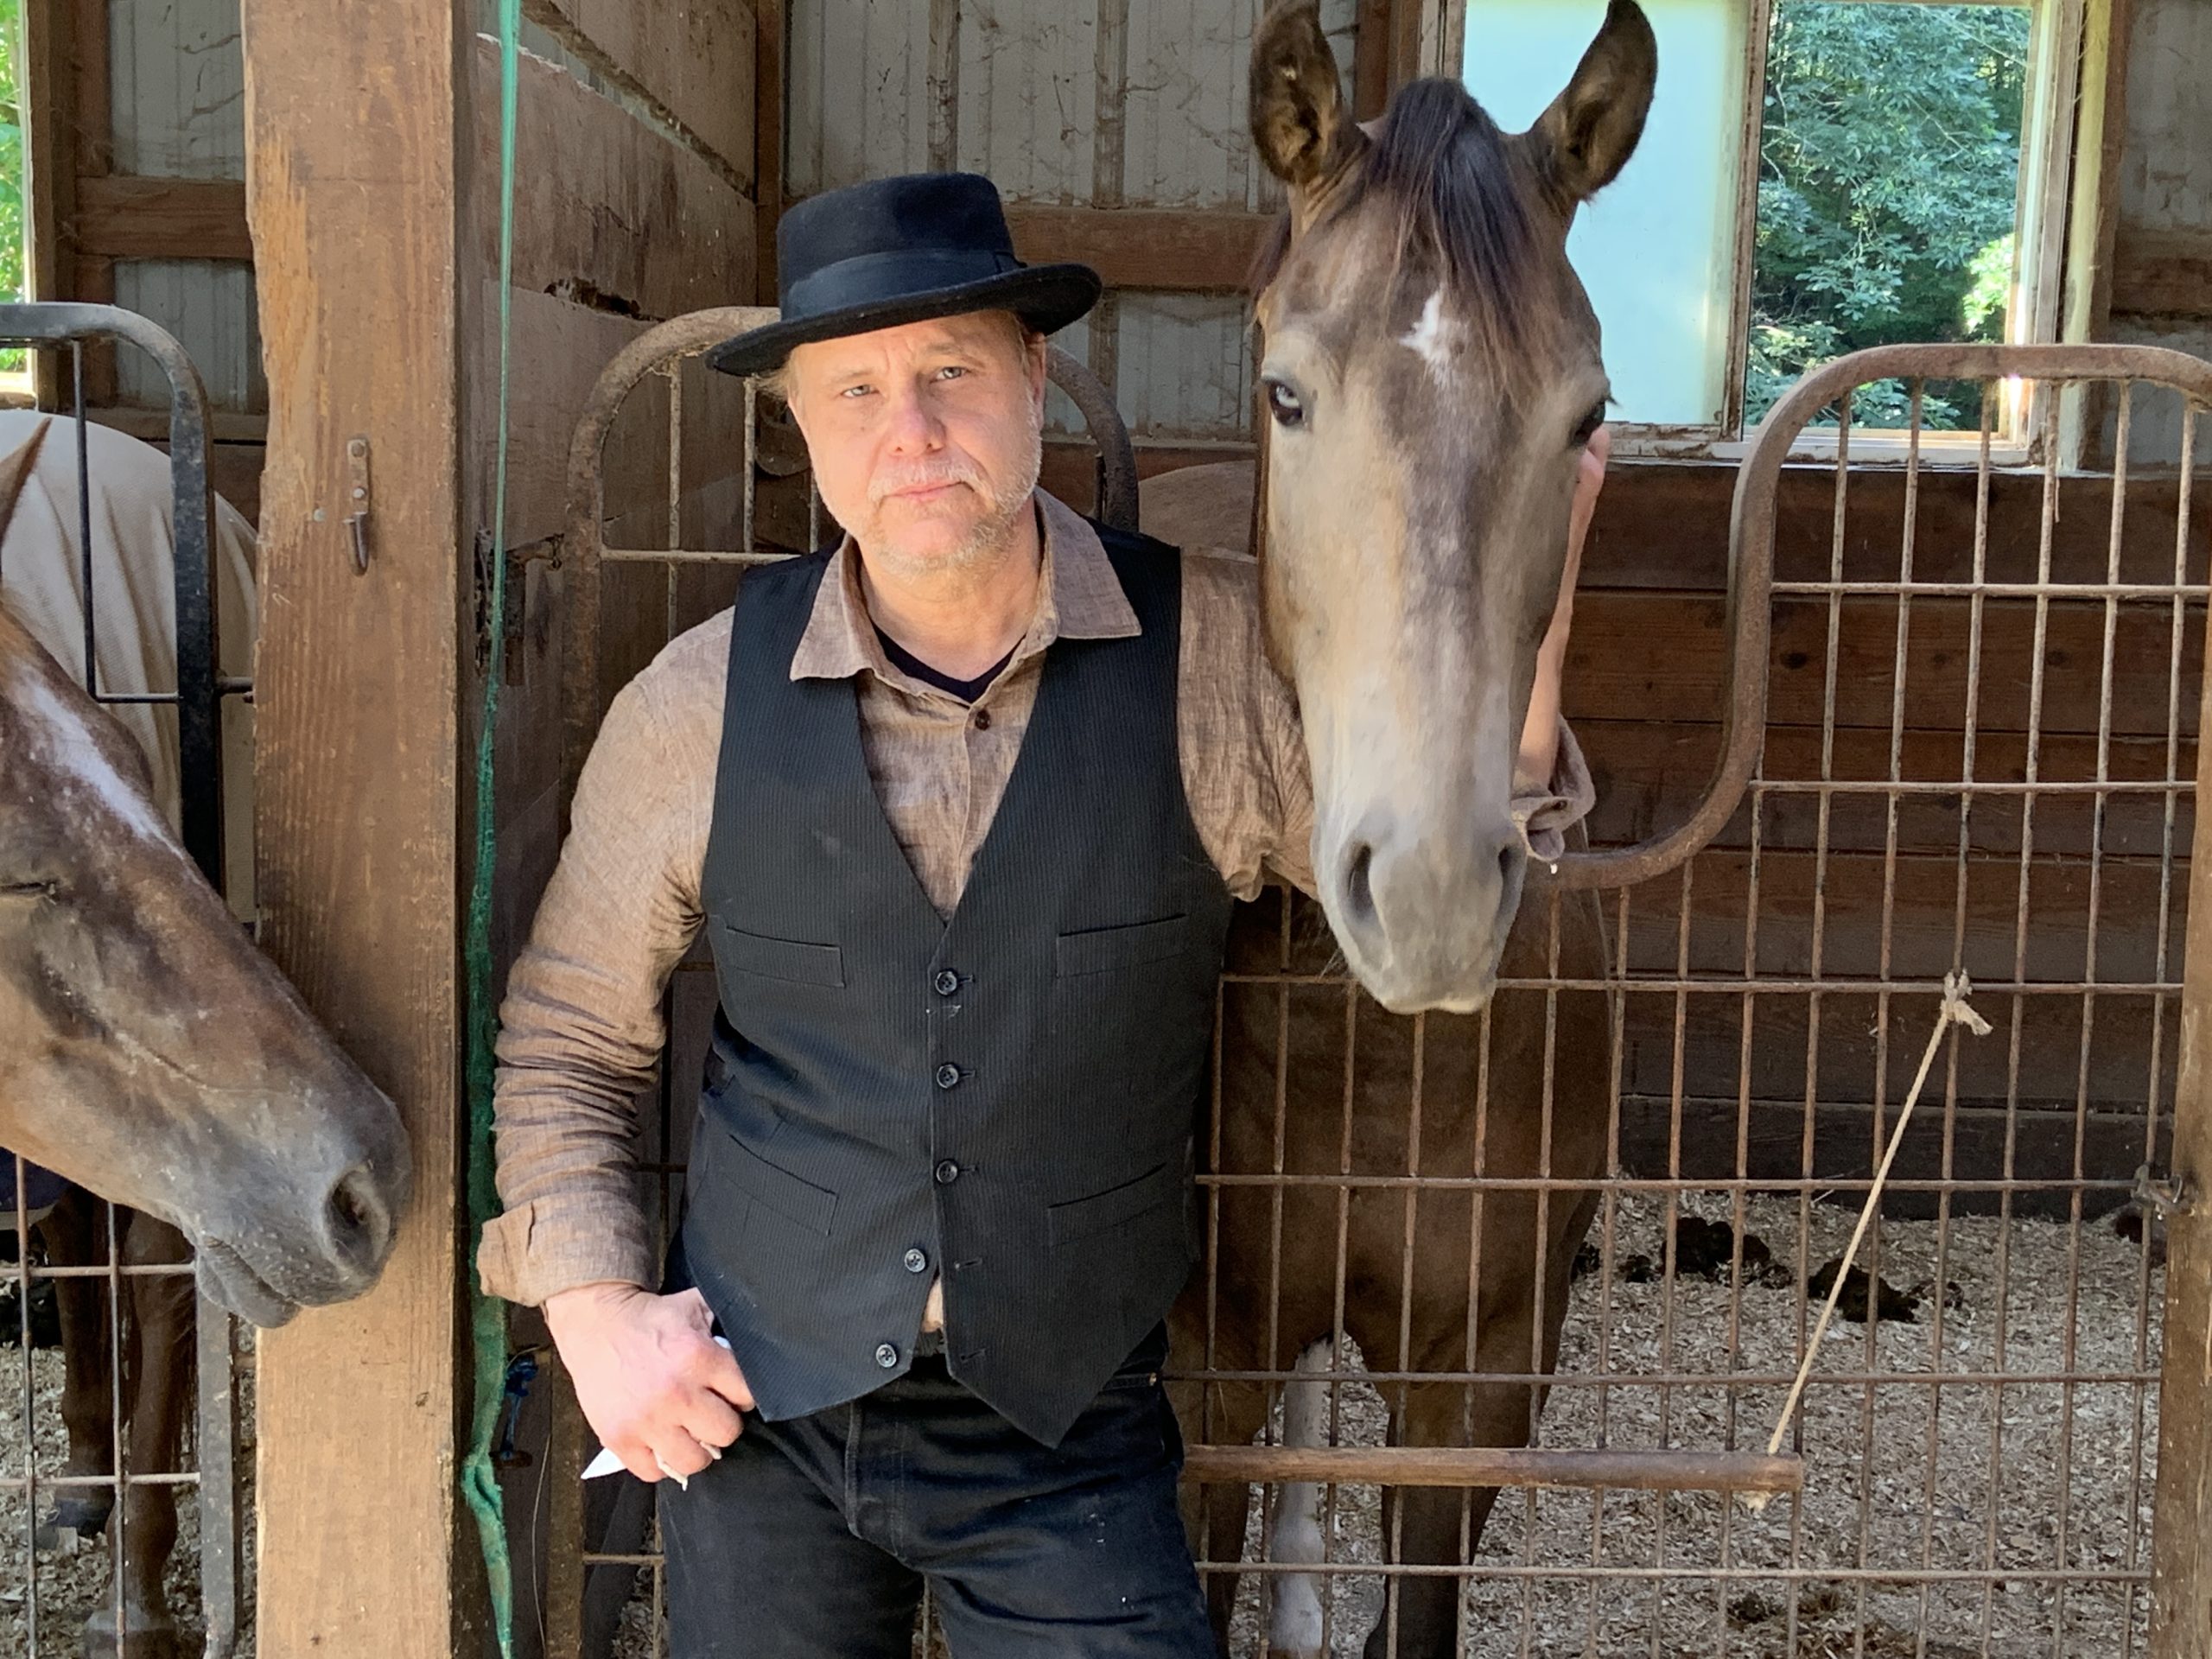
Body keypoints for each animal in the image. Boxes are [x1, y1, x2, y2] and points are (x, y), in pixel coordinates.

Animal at [1141, 4, 1653, 1653]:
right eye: (1288, 392)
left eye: (1588, 413)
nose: (1427, 894)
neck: (1371, 1053)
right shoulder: (1202, 1367)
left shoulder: (1482, 1382)